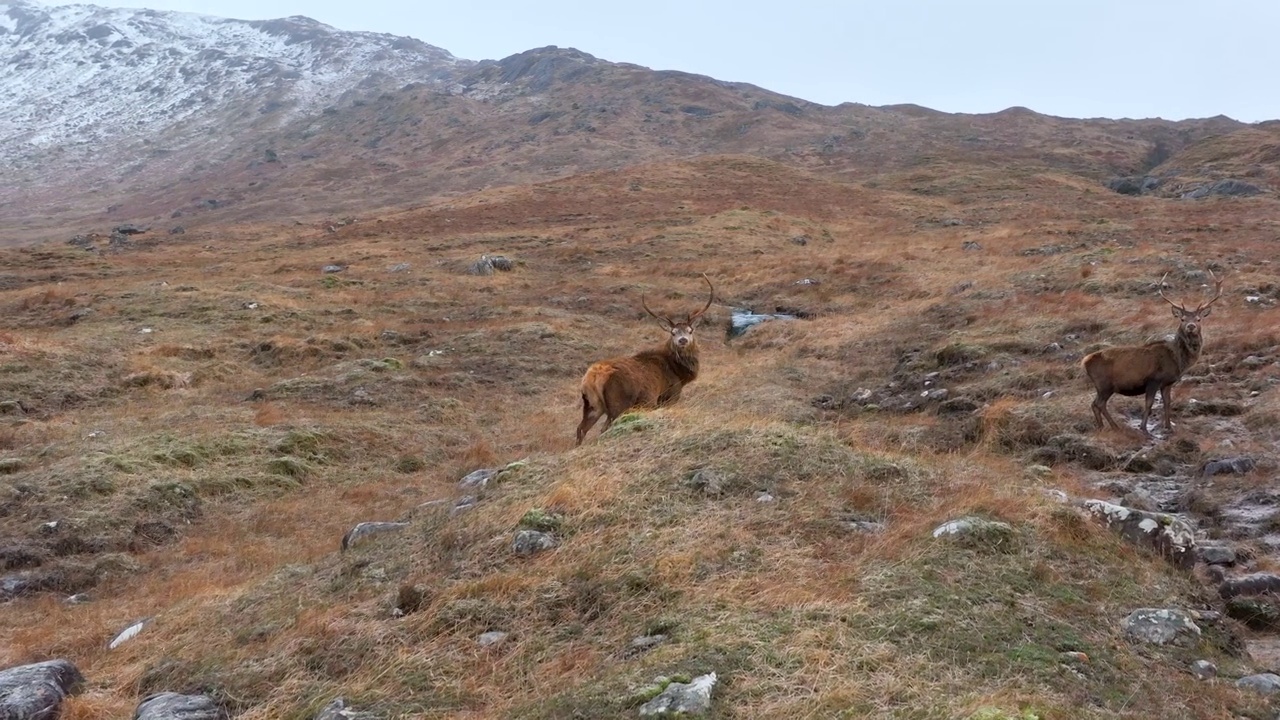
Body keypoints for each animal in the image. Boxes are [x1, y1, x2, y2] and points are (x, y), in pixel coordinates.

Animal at [576, 272, 716, 443]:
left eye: (690, 331)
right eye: (673, 333)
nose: (682, 340)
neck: (680, 373)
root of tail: (594, 377)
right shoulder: (669, 395)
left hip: (592, 405)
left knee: (581, 428)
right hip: (619, 403)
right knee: (604, 428)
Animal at [1085, 269, 1223, 435]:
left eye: (1198, 319)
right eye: (1182, 319)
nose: (1191, 326)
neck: (1178, 361)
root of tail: (1085, 361)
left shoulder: (1167, 382)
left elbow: (1167, 403)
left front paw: (1169, 427)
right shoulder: (1153, 379)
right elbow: (1149, 403)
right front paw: (1144, 428)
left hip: (1102, 387)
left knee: (1096, 404)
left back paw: (1105, 427)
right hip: (1104, 384)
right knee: (1098, 404)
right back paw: (1111, 426)